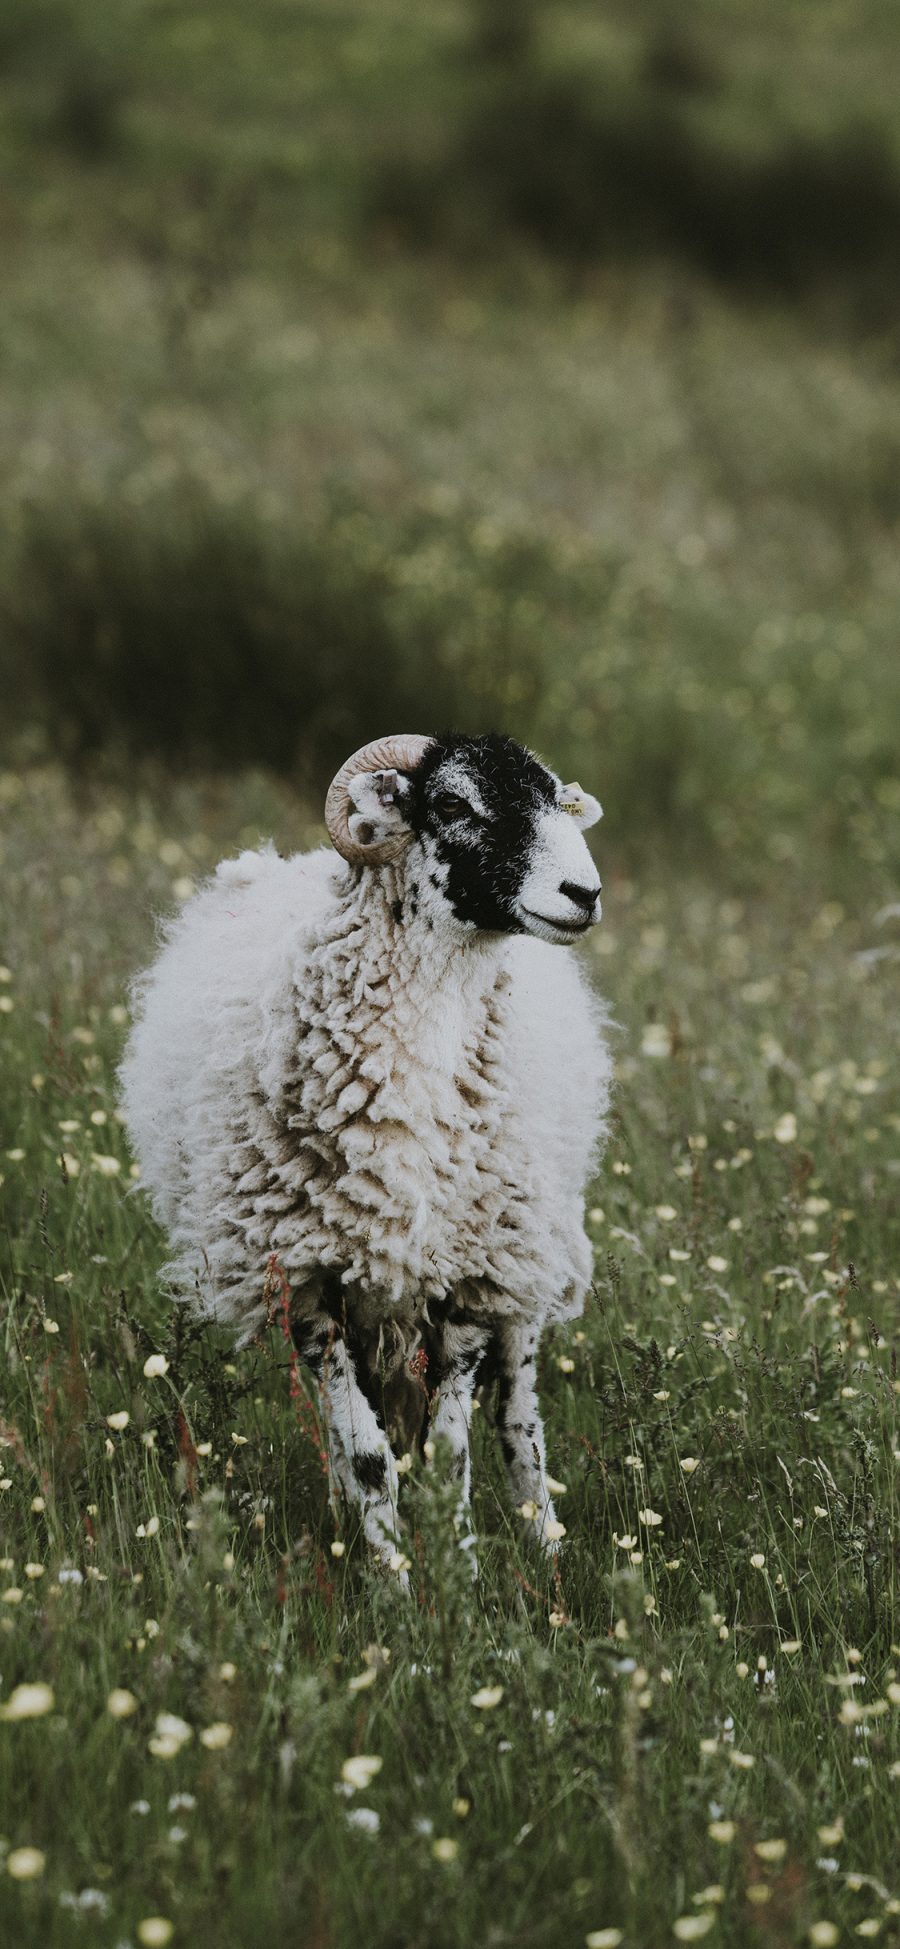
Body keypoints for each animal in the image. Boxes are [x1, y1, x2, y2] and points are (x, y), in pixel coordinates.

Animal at [121, 732, 611, 1566]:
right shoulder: (309, 1278)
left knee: (519, 1414)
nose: (584, 892)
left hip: (523, 1252)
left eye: (557, 800)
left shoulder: (469, 1274)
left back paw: (544, 1546)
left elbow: (452, 1452)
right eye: (451, 802)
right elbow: (368, 1452)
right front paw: (392, 1579)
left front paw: (462, 1579)